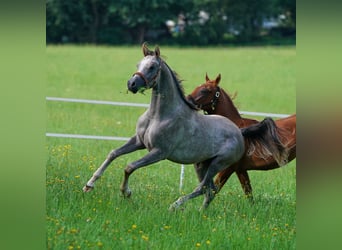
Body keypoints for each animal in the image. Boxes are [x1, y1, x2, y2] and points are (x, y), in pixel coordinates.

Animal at [84, 44, 288, 210]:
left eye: (152, 67)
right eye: (138, 64)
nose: (132, 84)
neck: (159, 115)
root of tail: (239, 131)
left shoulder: (159, 152)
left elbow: (129, 166)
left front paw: (126, 193)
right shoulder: (139, 142)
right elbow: (113, 153)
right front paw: (89, 185)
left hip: (218, 164)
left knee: (203, 187)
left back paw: (176, 205)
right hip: (201, 164)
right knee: (209, 190)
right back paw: (200, 213)